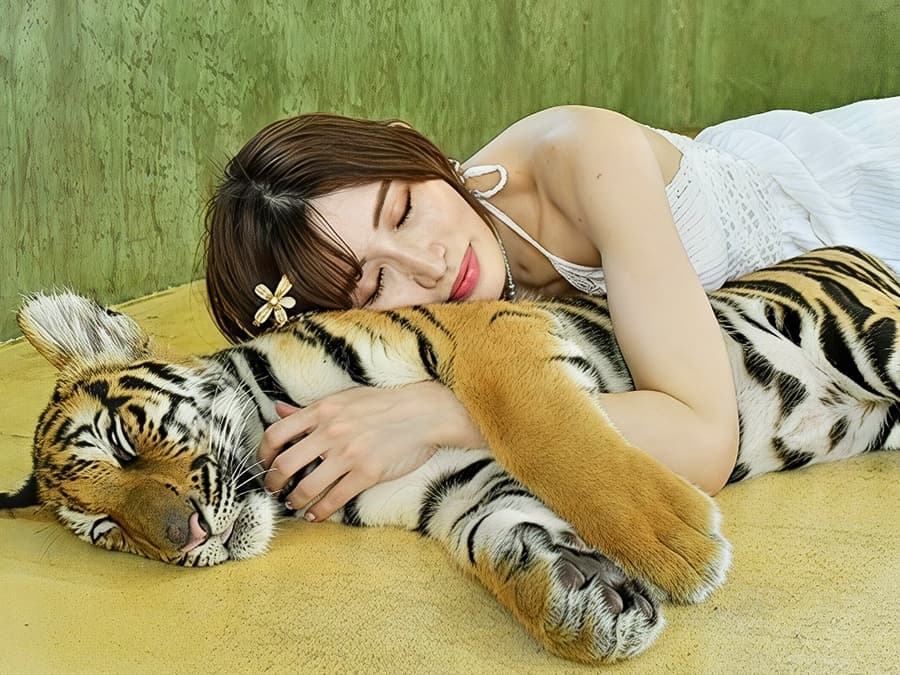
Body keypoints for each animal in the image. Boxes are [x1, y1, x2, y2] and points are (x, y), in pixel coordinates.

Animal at [2, 246, 899, 664]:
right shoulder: (449, 483)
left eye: (123, 442)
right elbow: (500, 536)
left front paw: (678, 547)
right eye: (107, 533)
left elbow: (548, 432)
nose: (183, 535)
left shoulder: (486, 334)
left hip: (871, 336)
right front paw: (583, 603)